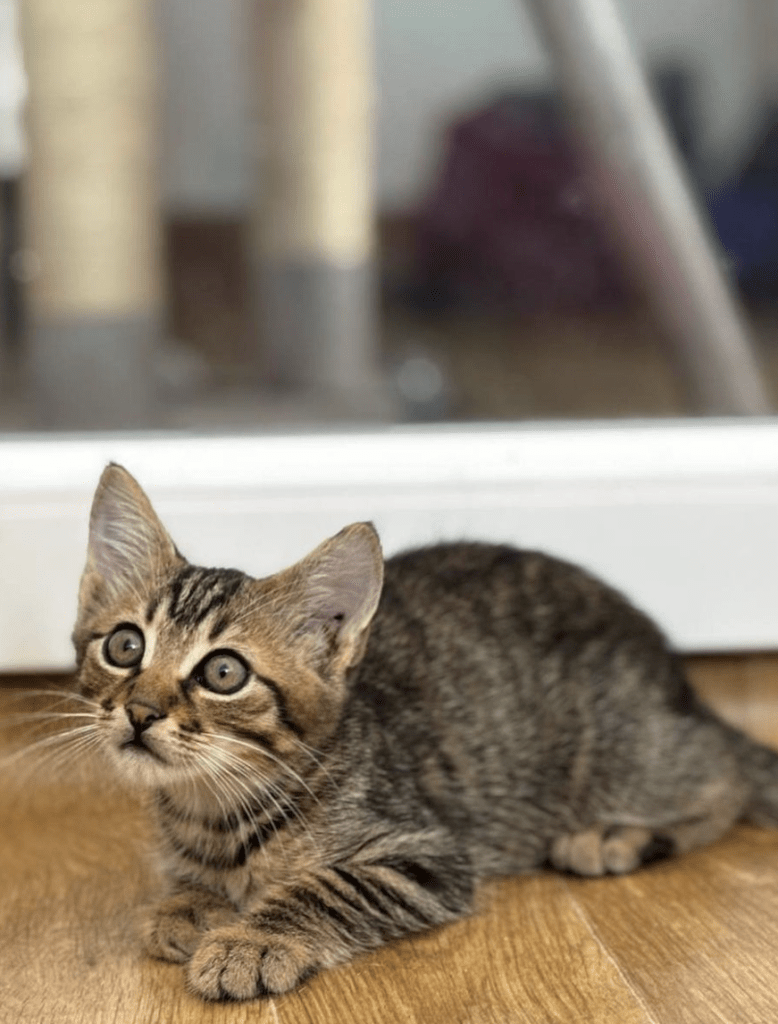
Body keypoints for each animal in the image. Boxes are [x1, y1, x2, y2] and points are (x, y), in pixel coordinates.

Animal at [71, 462, 778, 999]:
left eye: (223, 672)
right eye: (125, 646)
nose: (140, 711)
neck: (216, 805)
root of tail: (676, 678)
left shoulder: (428, 853)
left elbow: (328, 887)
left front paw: (253, 938)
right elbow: (191, 879)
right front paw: (189, 903)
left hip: (624, 754)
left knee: (726, 775)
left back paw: (617, 835)